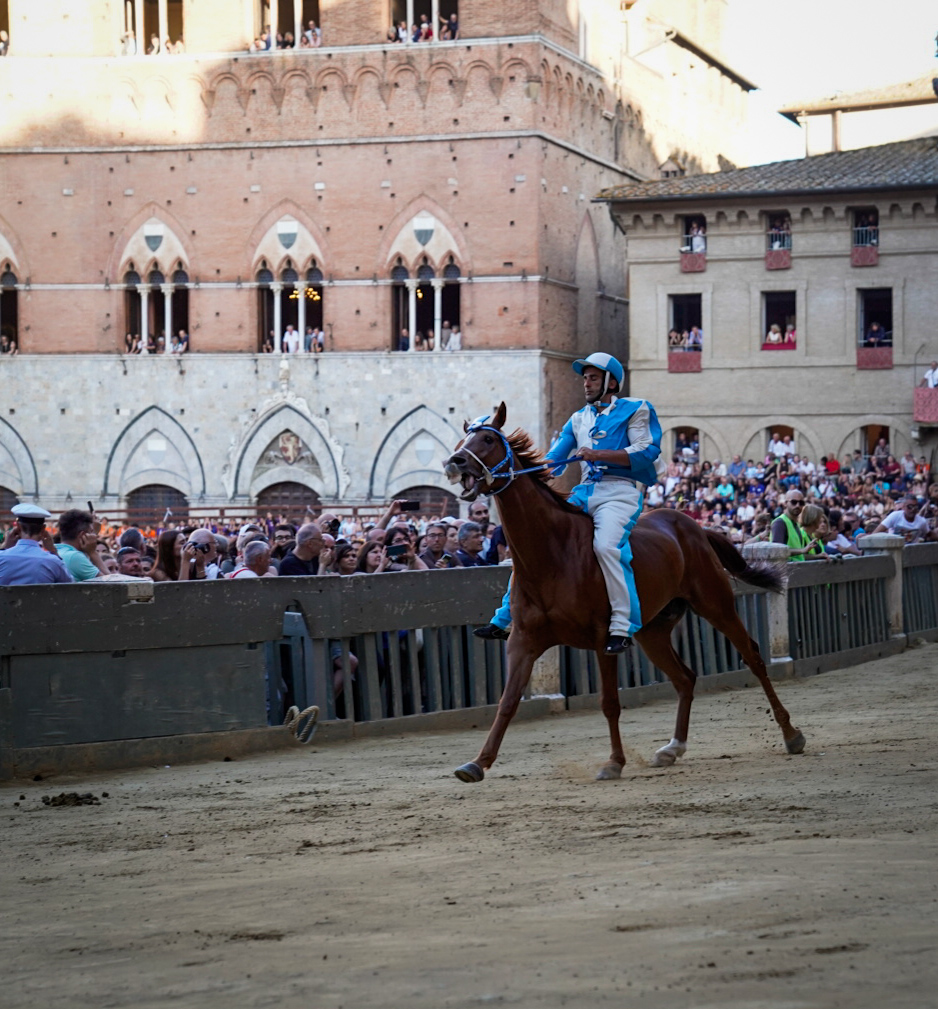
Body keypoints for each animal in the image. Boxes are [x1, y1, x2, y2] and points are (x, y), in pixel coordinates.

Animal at [443, 405, 802, 782]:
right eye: (463, 439)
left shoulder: (603, 638)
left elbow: (609, 702)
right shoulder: (524, 640)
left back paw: (791, 733)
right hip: (652, 630)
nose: (455, 461)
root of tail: (695, 527)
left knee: (753, 657)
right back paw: (673, 748)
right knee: (685, 678)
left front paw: (614, 761)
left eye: (487, 439)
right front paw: (477, 763)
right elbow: (508, 701)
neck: (552, 553)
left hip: (715, 604)